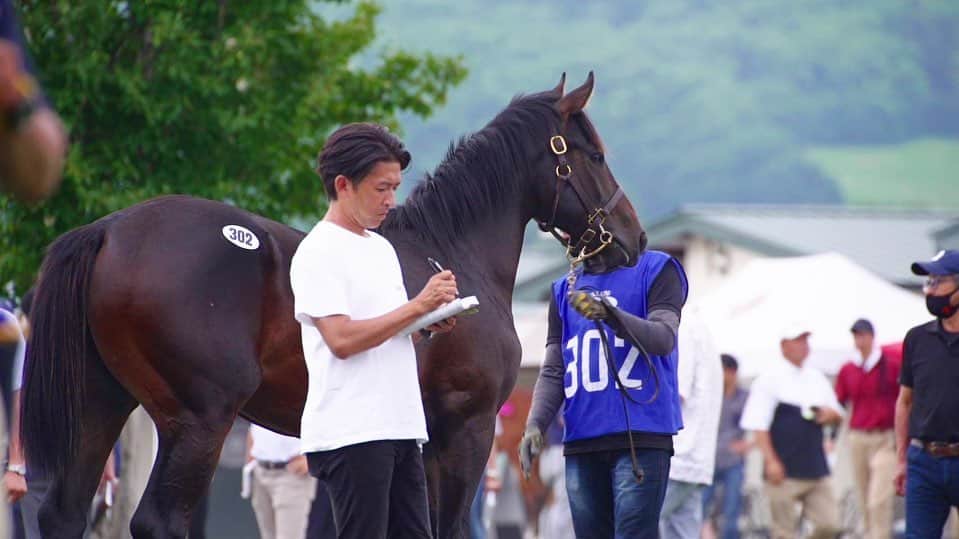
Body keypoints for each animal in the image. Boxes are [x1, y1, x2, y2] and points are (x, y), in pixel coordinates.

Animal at [21, 72, 647, 538]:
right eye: (594, 155)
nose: (632, 238)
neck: (452, 248)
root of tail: (108, 230)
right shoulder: (465, 430)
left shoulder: (415, 444)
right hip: (198, 420)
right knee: (158, 521)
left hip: (100, 403)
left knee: (63, 515)